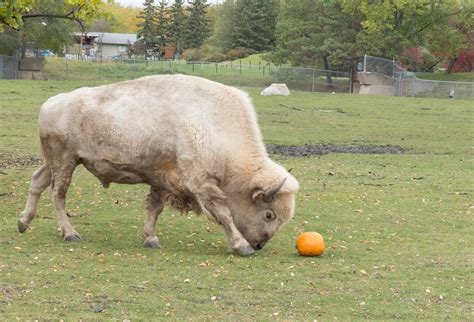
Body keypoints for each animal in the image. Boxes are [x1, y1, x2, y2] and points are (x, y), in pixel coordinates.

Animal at [20, 74, 300, 255]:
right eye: (269, 214)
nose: (259, 245)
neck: (215, 125)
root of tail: (50, 104)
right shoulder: (201, 184)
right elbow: (224, 214)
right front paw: (241, 246)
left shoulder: (160, 179)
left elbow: (155, 208)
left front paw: (151, 239)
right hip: (64, 162)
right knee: (58, 194)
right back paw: (70, 233)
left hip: (55, 162)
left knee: (37, 181)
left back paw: (23, 223)